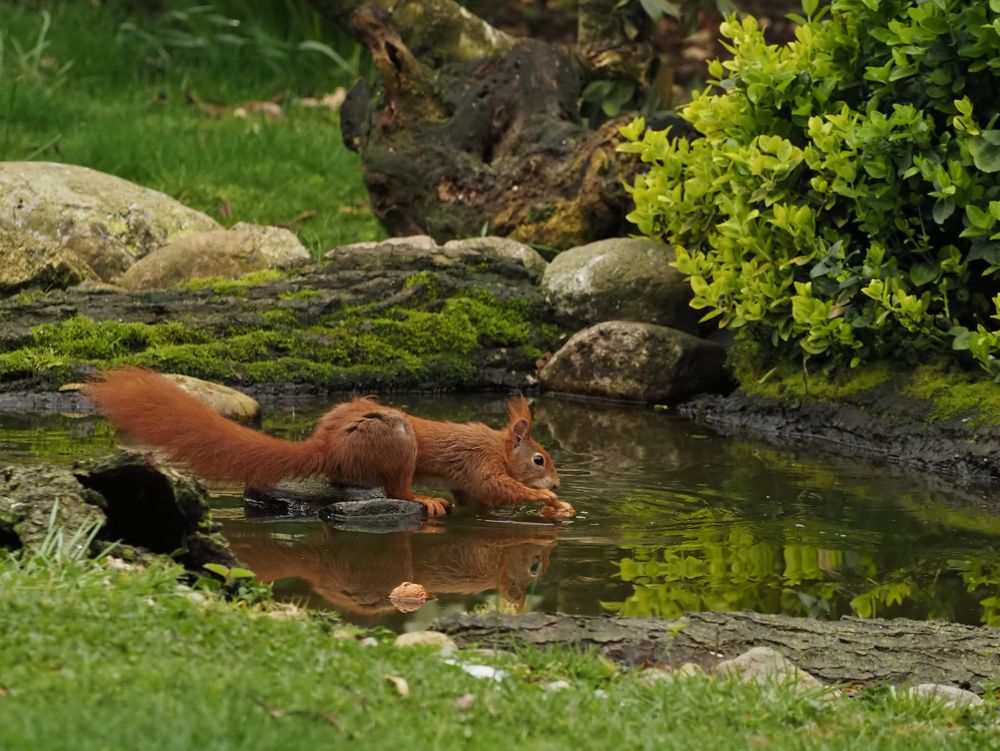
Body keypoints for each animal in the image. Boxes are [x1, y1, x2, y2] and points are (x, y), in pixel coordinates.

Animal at [82, 368, 576, 520]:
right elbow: (497, 488)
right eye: (539, 458)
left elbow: (479, 500)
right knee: (397, 490)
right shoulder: (480, 464)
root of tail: (325, 445)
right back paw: (423, 499)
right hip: (399, 441)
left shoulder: (468, 481)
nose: (556, 480)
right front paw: (546, 499)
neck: (499, 447)